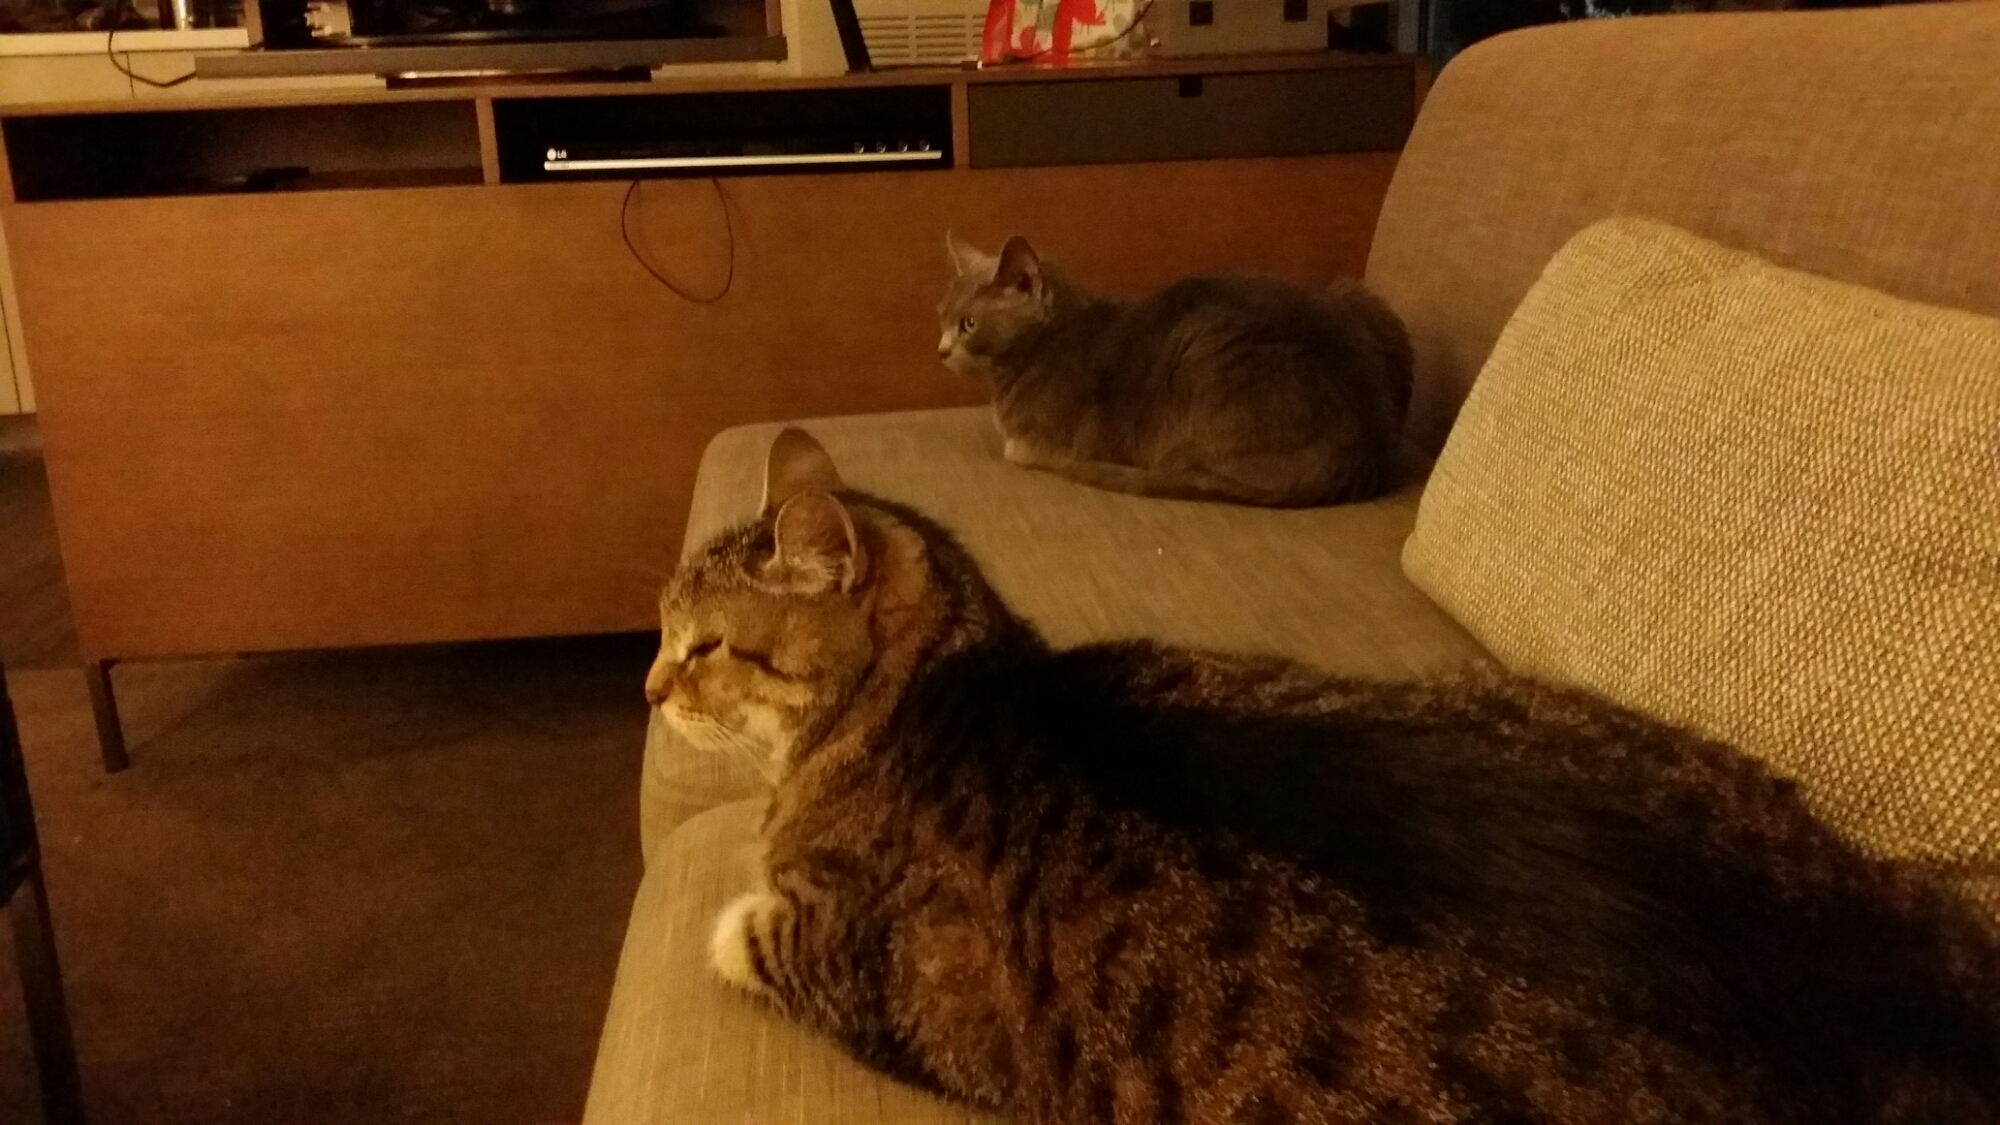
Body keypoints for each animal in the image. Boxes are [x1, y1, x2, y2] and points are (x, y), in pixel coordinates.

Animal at [646, 427, 2000, 1125]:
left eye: (701, 646)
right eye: (662, 634)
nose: (649, 689)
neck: (944, 689)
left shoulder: (855, 962)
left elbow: (737, 923)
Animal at [934, 234, 1414, 508]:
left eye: (969, 324)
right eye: (941, 317)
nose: (940, 351)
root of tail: (1368, 451)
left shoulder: (1045, 442)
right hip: (1355, 294)